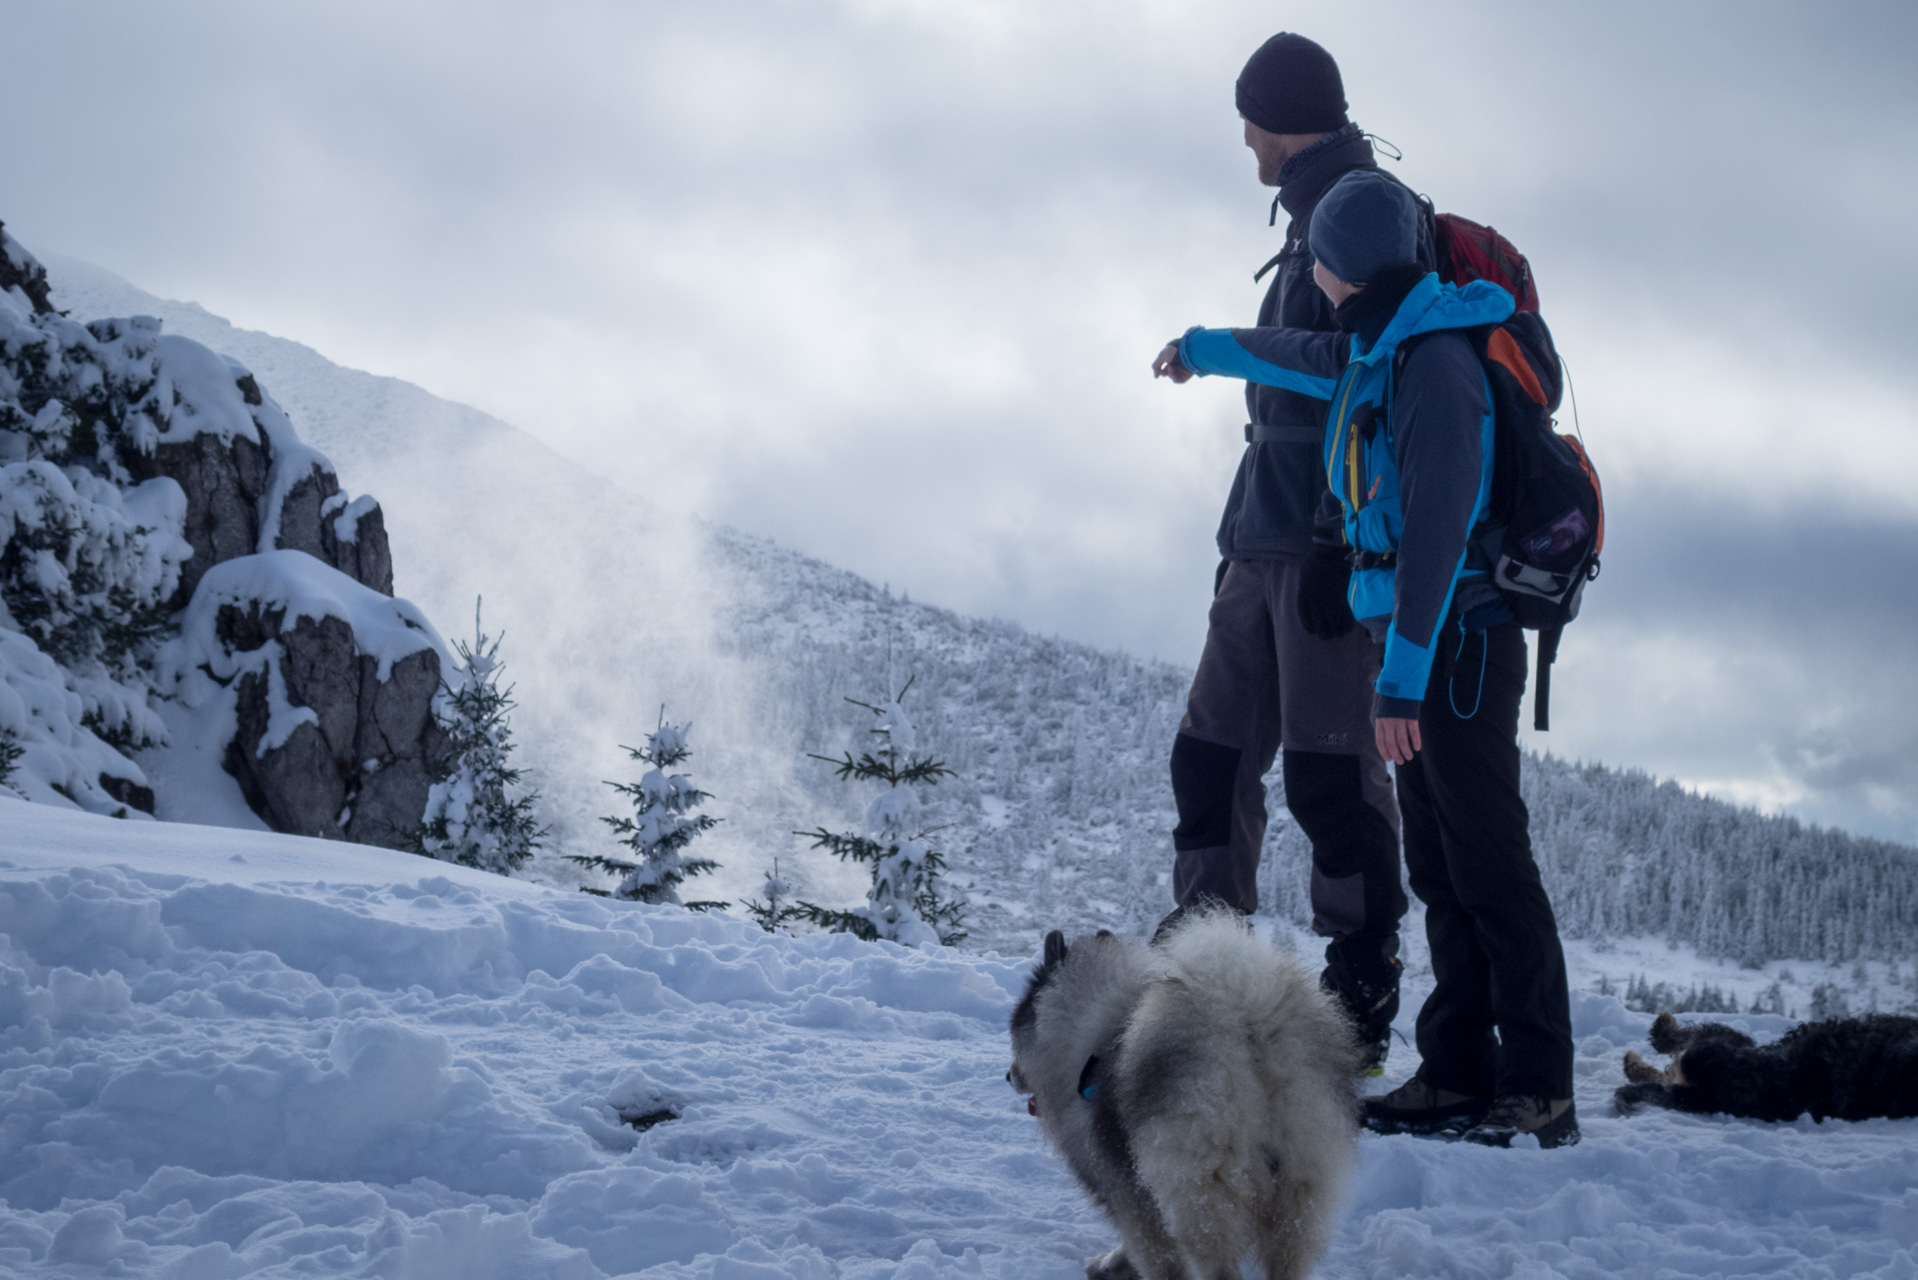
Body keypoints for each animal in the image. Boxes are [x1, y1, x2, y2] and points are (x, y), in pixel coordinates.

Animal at [1005, 909, 1365, 1280]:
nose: (1009, 1076)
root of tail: (1251, 1028)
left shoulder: (1129, 1195)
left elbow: (1155, 1256)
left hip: (1201, 1192)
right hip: (1300, 1195)